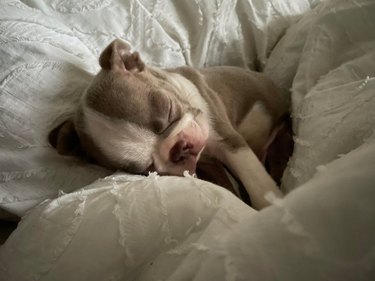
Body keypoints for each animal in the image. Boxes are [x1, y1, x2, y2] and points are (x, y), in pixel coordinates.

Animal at [49, 40, 290, 210]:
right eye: (146, 169)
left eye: (168, 110)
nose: (179, 149)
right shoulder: (206, 164)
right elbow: (223, 184)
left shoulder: (227, 138)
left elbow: (255, 179)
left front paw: (274, 206)